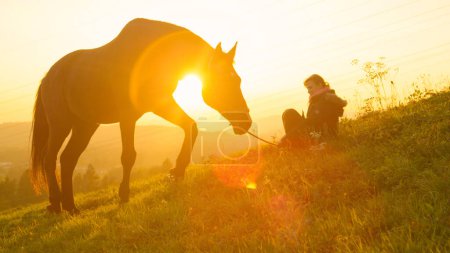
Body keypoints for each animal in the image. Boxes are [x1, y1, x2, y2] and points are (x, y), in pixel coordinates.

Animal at [29, 18, 251, 214]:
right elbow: (128, 156)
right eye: (225, 82)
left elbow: (190, 126)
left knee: (67, 160)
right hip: (60, 125)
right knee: (50, 160)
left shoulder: (160, 104)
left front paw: (177, 171)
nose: (246, 123)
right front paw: (124, 194)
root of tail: (48, 77)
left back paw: (70, 206)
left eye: (238, 80)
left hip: (86, 125)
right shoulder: (128, 116)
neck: (155, 54)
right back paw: (55, 203)